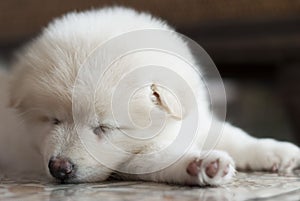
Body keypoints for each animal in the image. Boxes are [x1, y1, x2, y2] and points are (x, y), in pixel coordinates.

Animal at [0, 6, 300, 185]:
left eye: (104, 127)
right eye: (53, 120)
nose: (59, 168)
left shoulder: (197, 120)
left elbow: (237, 136)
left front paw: (278, 151)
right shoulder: (132, 159)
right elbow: (163, 158)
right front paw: (202, 164)